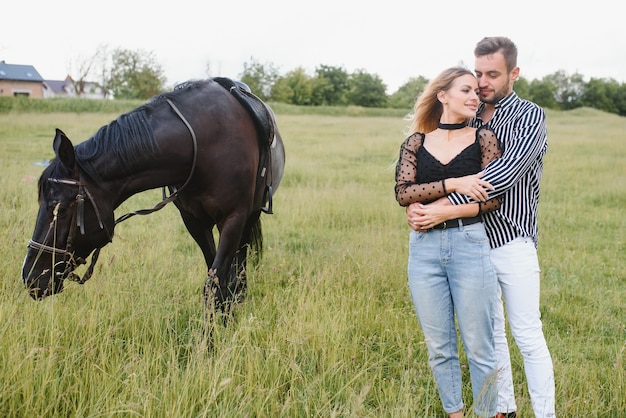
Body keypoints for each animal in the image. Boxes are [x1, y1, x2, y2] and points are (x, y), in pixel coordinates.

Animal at [21, 77, 286, 316]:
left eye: (60, 208)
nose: (30, 277)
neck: (204, 142)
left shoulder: (234, 218)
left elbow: (215, 283)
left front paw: (213, 335)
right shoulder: (193, 221)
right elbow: (214, 275)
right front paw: (224, 314)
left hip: (251, 215)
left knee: (241, 258)